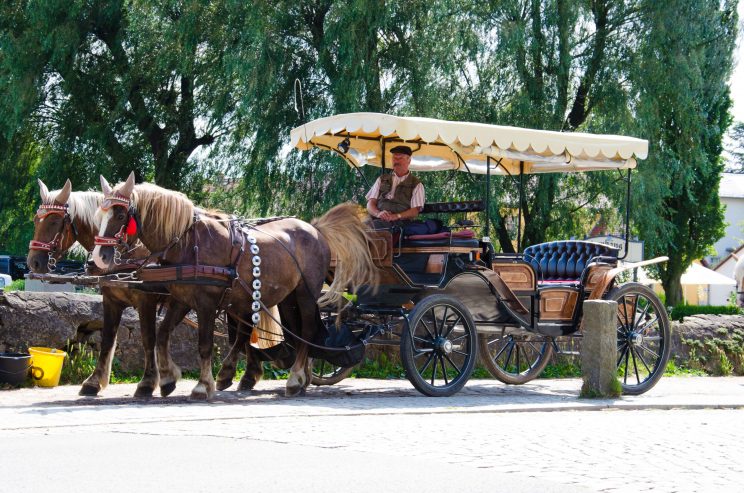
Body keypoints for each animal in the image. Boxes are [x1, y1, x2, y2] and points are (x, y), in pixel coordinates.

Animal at [26, 179, 189, 398]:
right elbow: (108, 339)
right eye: (37, 220)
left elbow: (148, 338)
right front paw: (94, 381)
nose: (33, 262)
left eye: (54, 221)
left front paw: (147, 382)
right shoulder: (111, 301)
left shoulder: (146, 300)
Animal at [91, 171, 378, 398]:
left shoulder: (205, 302)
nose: (98, 258)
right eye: (99, 214)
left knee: (305, 330)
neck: (188, 242)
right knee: (291, 331)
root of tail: (316, 228)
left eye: (120, 215)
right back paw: (299, 377)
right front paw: (168, 378)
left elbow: (204, 344)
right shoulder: (182, 299)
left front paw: (201, 386)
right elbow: (161, 335)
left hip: (306, 293)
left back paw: (295, 379)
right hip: (287, 298)